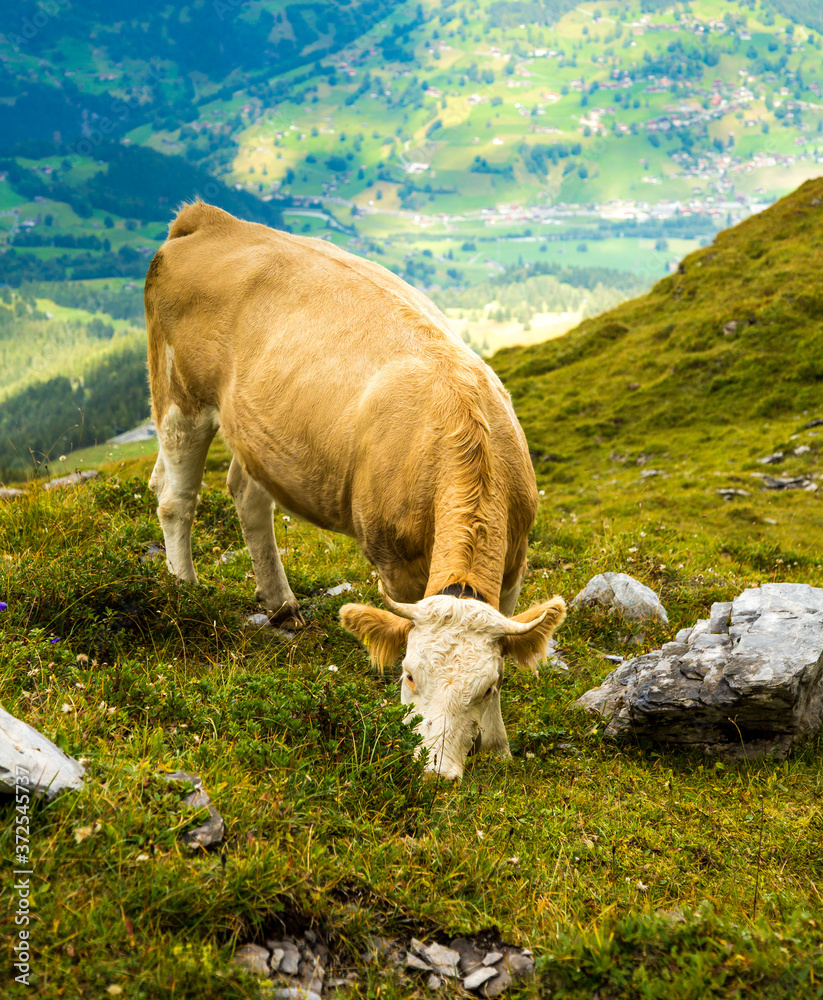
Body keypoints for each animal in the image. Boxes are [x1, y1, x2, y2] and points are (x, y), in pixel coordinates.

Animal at [145, 201, 565, 780]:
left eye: (486, 687)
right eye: (408, 674)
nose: (437, 773)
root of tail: (211, 219)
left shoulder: (514, 563)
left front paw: (498, 744)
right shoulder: (395, 562)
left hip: (259, 428)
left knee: (247, 496)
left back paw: (282, 606)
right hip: (178, 395)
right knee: (175, 498)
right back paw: (185, 591)